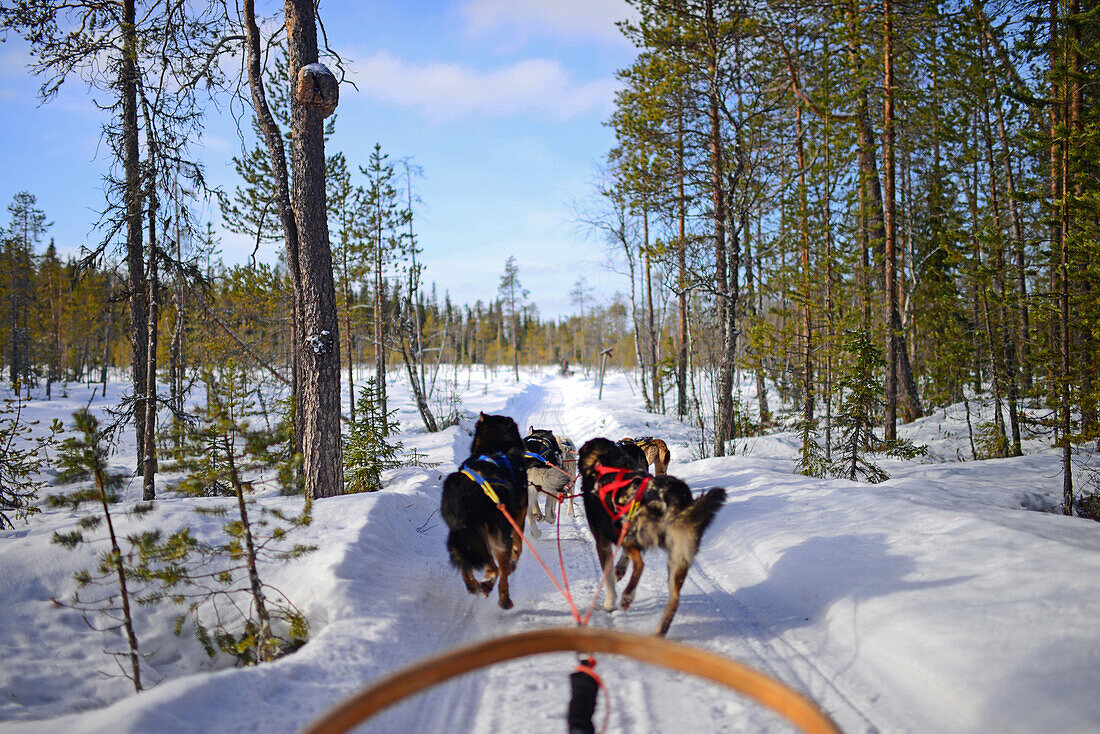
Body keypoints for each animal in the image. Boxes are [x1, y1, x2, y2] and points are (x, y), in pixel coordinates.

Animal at [437, 413, 528, 607]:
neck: (493, 447)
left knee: (469, 562)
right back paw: (503, 597)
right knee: (498, 569)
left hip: (463, 536)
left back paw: (476, 586)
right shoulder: (518, 516)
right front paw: (513, 563)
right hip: (499, 533)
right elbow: (518, 546)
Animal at [580, 435, 726, 638]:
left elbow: (608, 578)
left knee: (640, 564)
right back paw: (658, 632)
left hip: (632, 534)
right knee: (674, 598)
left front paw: (609, 602)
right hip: (677, 558)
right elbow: (622, 562)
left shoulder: (603, 541)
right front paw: (619, 570)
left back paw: (627, 596)